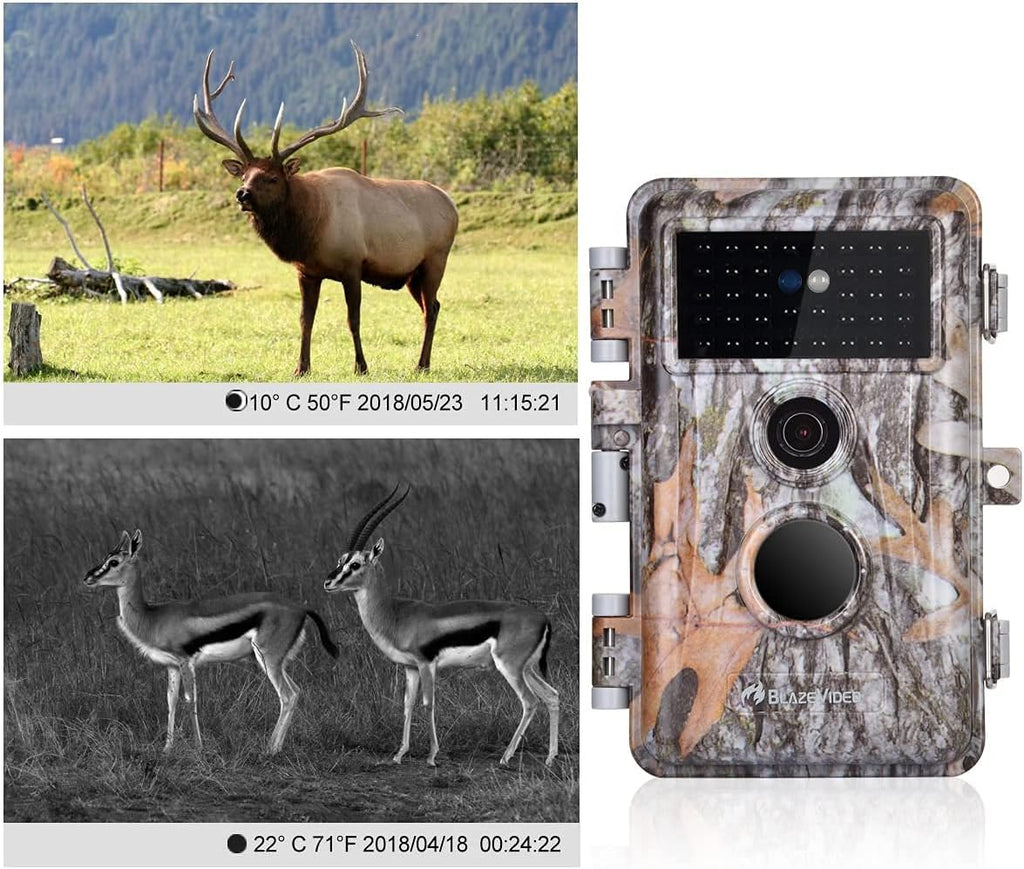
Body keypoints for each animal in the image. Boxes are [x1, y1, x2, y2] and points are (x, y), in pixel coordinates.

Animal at [193, 43, 459, 376]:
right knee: (432, 305)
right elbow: (305, 320)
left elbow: (353, 320)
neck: (311, 229)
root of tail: (452, 204)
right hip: (412, 273)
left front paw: (361, 366)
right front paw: (301, 367)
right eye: (244, 175)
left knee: (431, 308)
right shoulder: (306, 272)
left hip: (436, 259)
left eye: (272, 177)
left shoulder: (353, 265)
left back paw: (421, 365)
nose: (242, 194)